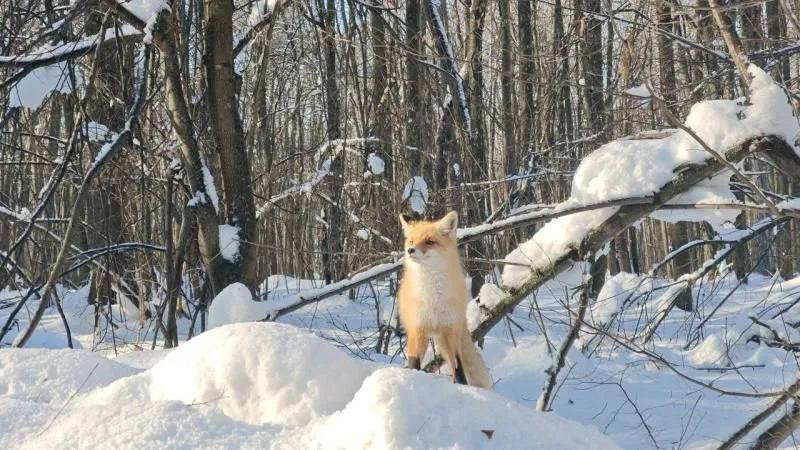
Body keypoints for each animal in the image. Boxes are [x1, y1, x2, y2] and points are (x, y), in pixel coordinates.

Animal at [396, 212, 490, 390]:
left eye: (429, 242)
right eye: (411, 241)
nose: (410, 250)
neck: (433, 298)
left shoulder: (449, 329)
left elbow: (459, 368)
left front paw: (463, 387)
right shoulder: (417, 329)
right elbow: (414, 363)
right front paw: (412, 379)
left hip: (445, 339)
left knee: (456, 363)